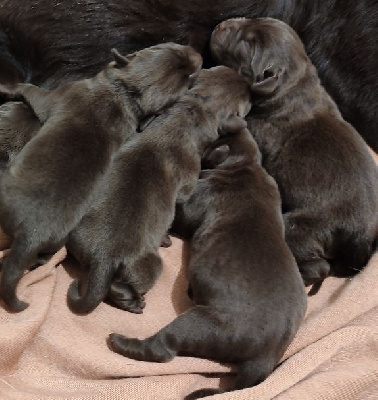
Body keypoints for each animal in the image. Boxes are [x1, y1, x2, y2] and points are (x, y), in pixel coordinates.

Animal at [0, 43, 204, 312]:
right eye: (169, 48)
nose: (199, 55)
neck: (125, 93)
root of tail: (31, 235)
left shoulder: (59, 95)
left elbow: (29, 90)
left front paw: (7, 86)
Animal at [66, 66, 252, 316]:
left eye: (214, 69)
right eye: (247, 103)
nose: (248, 82)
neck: (191, 112)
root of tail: (103, 259)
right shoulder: (189, 179)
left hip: (76, 238)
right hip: (152, 265)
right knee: (123, 286)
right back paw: (134, 302)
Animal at [210, 18, 378, 294]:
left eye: (247, 43)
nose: (222, 24)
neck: (292, 88)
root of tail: (363, 239)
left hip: (301, 227)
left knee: (317, 262)